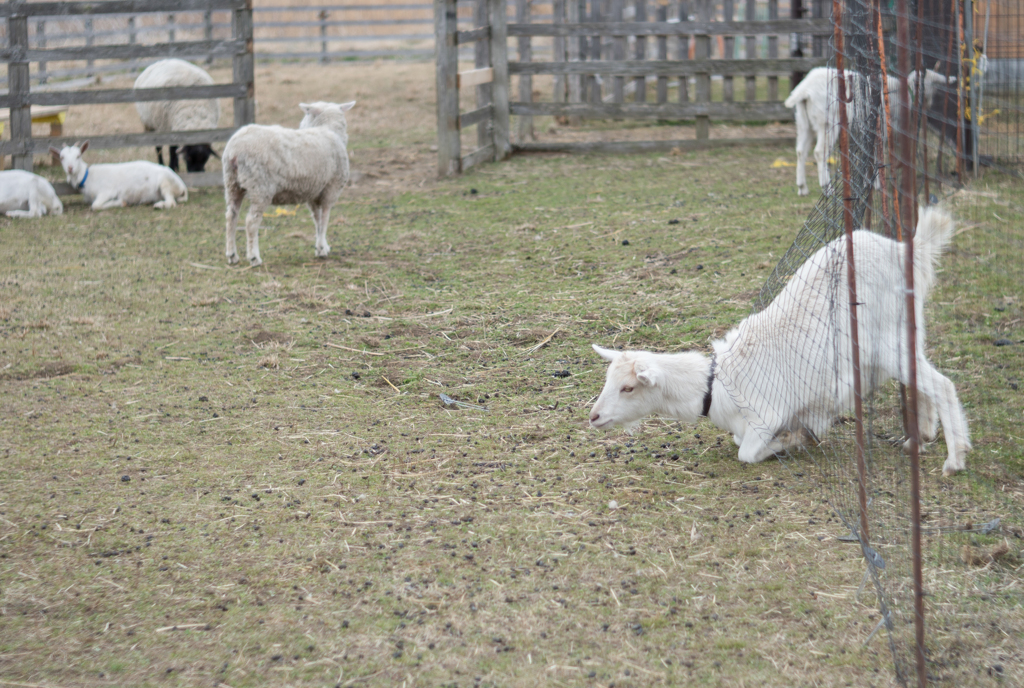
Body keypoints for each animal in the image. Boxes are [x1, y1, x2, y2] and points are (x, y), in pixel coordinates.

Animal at [51, 141, 189, 210]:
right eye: (62, 157)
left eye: (78, 156)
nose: (70, 168)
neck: (87, 177)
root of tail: (183, 187)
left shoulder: (107, 191)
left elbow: (95, 206)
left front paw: (121, 202)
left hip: (166, 183)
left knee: (171, 202)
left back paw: (159, 206)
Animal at [222, 99, 354, 266]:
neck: (327, 130)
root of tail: (235, 151)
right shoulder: (331, 188)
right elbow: (324, 220)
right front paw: (321, 249)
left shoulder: (313, 192)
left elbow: (317, 220)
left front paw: (322, 246)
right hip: (260, 187)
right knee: (251, 222)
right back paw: (254, 257)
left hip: (232, 184)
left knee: (231, 217)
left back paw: (232, 255)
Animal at [589, 206, 970, 475]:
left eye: (628, 388)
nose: (593, 417)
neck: (717, 385)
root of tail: (909, 250)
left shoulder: (765, 415)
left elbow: (746, 452)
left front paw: (792, 439)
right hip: (905, 330)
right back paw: (919, 438)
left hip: (886, 341)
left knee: (942, 385)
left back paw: (954, 461)